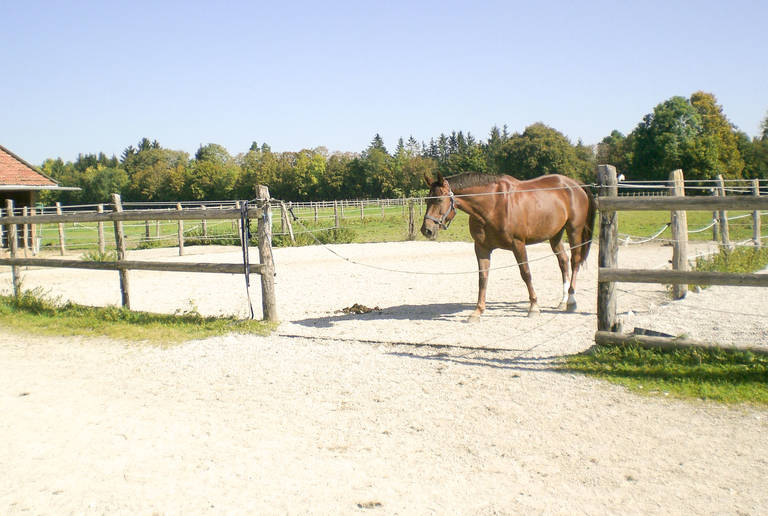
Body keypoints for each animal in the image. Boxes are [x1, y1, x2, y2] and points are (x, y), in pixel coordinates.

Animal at [424, 171, 596, 320]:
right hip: (555, 235)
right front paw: (477, 311)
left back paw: (571, 300)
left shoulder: (518, 244)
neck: (493, 204)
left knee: (575, 261)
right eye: (426, 200)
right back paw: (563, 300)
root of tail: (575, 184)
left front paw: (534, 307)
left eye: (439, 200)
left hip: (574, 231)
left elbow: (526, 274)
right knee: (563, 261)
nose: (426, 229)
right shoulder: (481, 248)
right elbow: (482, 277)